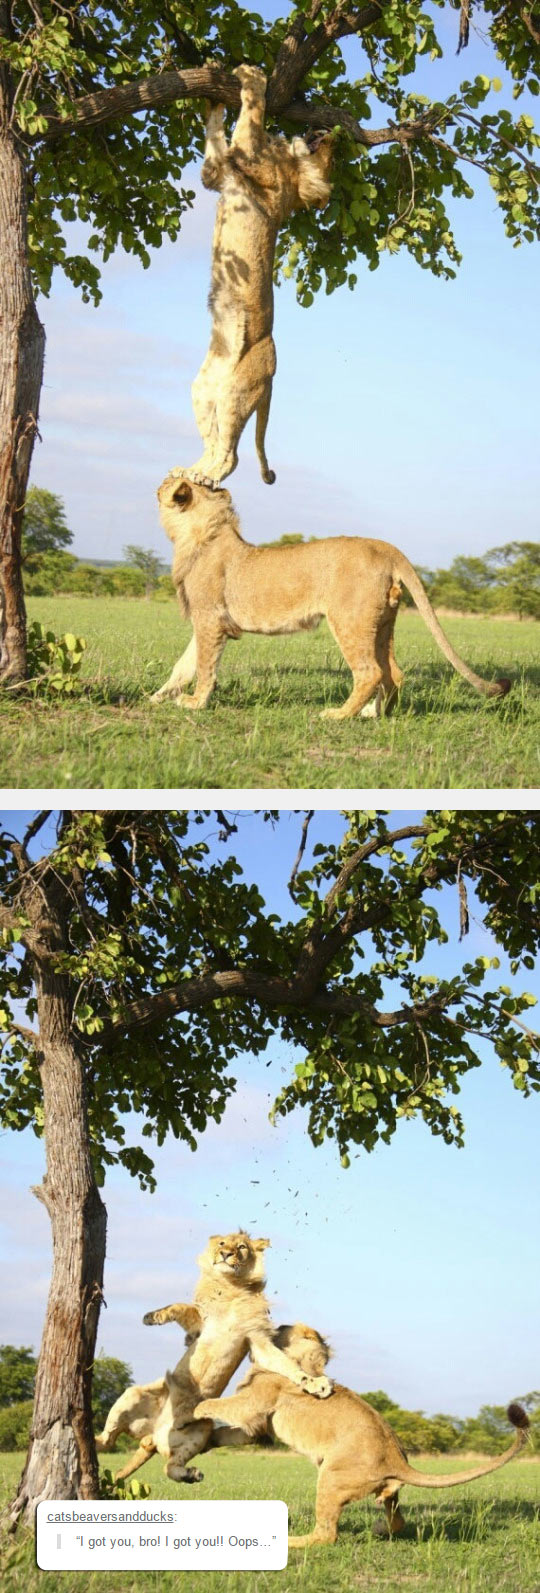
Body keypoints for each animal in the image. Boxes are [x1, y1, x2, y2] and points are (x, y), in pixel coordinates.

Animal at [95, 1232, 332, 1484]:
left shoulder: (256, 1339)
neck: (231, 1288)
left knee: (169, 1466)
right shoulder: (199, 1325)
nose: (226, 1254)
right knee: (106, 1440)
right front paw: (151, 1316)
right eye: (222, 1243)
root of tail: (154, 1433)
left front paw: (316, 1384)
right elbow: (179, 1306)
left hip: (200, 1429)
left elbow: (286, 1365)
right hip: (132, 1395)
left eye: (242, 1247)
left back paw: (191, 1474)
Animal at [150, 473, 511, 717]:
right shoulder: (207, 620)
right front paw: (157, 696)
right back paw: (372, 714)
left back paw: (339, 715)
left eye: (171, 477)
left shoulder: (210, 619)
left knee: (370, 672)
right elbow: (184, 664)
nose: (159, 483)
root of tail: (386, 547)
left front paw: (194, 703)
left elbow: (204, 666)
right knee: (393, 673)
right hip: (382, 624)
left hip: (349, 620)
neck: (195, 534)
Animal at [188, 64, 332, 486]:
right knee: (214, 441)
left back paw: (207, 477)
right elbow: (217, 136)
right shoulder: (217, 172)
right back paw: (193, 471)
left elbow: (250, 118)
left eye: (332, 157)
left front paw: (251, 75)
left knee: (232, 455)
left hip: (237, 391)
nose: (330, 133)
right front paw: (213, 94)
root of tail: (271, 378)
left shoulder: (249, 159)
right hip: (206, 390)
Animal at [194, 1321, 530, 1549]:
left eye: (288, 1329)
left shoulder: (256, 1402)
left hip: (330, 1478)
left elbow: (222, 1405)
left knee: (326, 1534)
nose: (277, 1324)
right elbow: (231, 1433)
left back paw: (290, 1541)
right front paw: (207, 1439)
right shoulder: (260, 1424)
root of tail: (398, 1460)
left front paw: (197, 1407)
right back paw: (381, 1530)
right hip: (386, 1492)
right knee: (398, 1517)